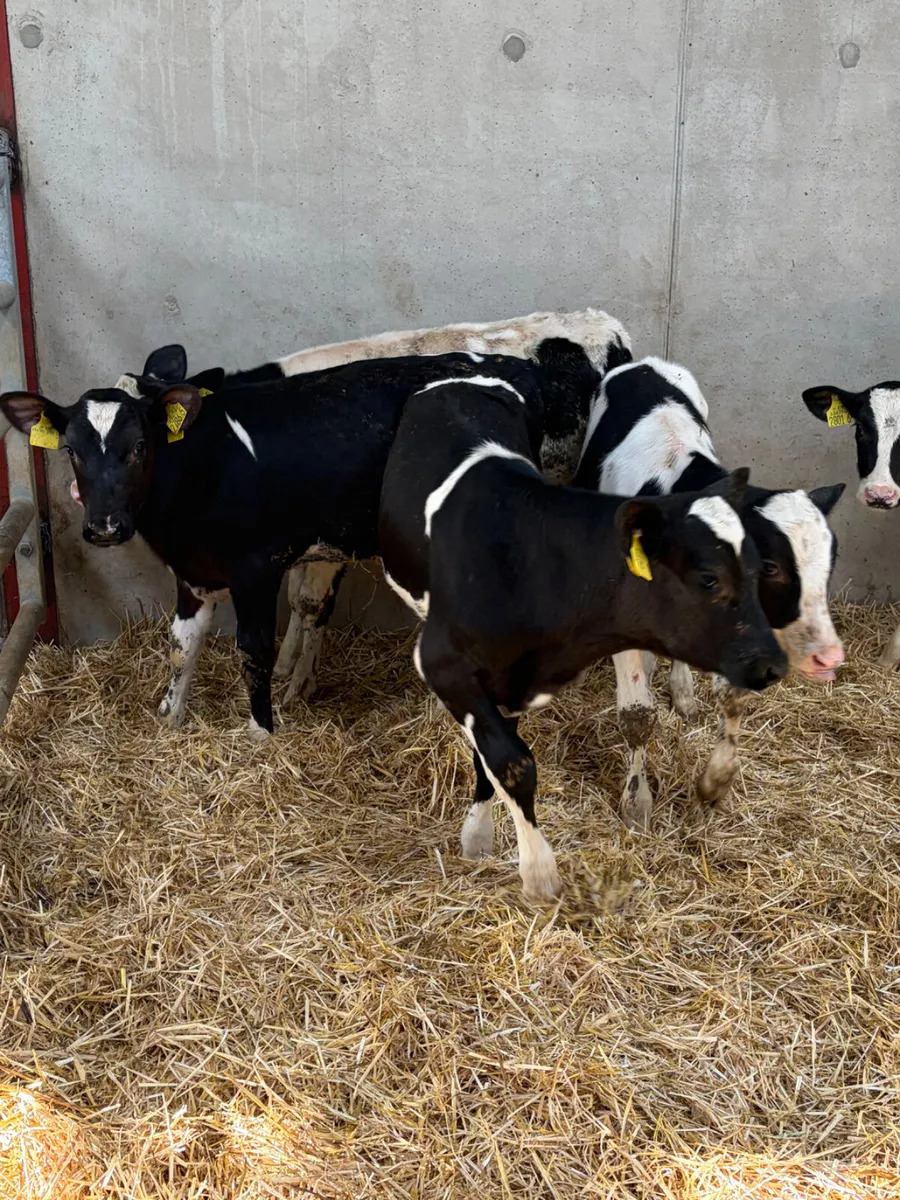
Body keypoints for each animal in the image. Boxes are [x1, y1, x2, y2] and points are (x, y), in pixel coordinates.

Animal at [1, 344, 604, 736]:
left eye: (140, 445)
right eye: (72, 450)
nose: (104, 525)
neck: (203, 466)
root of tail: (514, 368)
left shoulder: (257, 567)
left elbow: (254, 650)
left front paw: (261, 730)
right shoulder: (191, 573)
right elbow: (182, 645)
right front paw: (169, 718)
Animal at [129, 308, 632, 701]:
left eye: (148, 440)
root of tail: (603, 324)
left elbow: (310, 603)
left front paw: (297, 686)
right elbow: (295, 600)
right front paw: (289, 666)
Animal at [378, 372, 788, 901]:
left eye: (759, 568)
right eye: (709, 578)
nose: (772, 662)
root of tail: (458, 378)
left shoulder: (512, 678)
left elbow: (496, 755)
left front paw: (483, 837)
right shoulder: (443, 663)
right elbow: (510, 761)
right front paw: (537, 873)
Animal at [575, 358, 846, 829]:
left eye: (832, 560)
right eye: (770, 565)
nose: (828, 657)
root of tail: (645, 364)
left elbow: (733, 696)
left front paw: (716, 780)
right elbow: (637, 715)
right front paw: (637, 804)